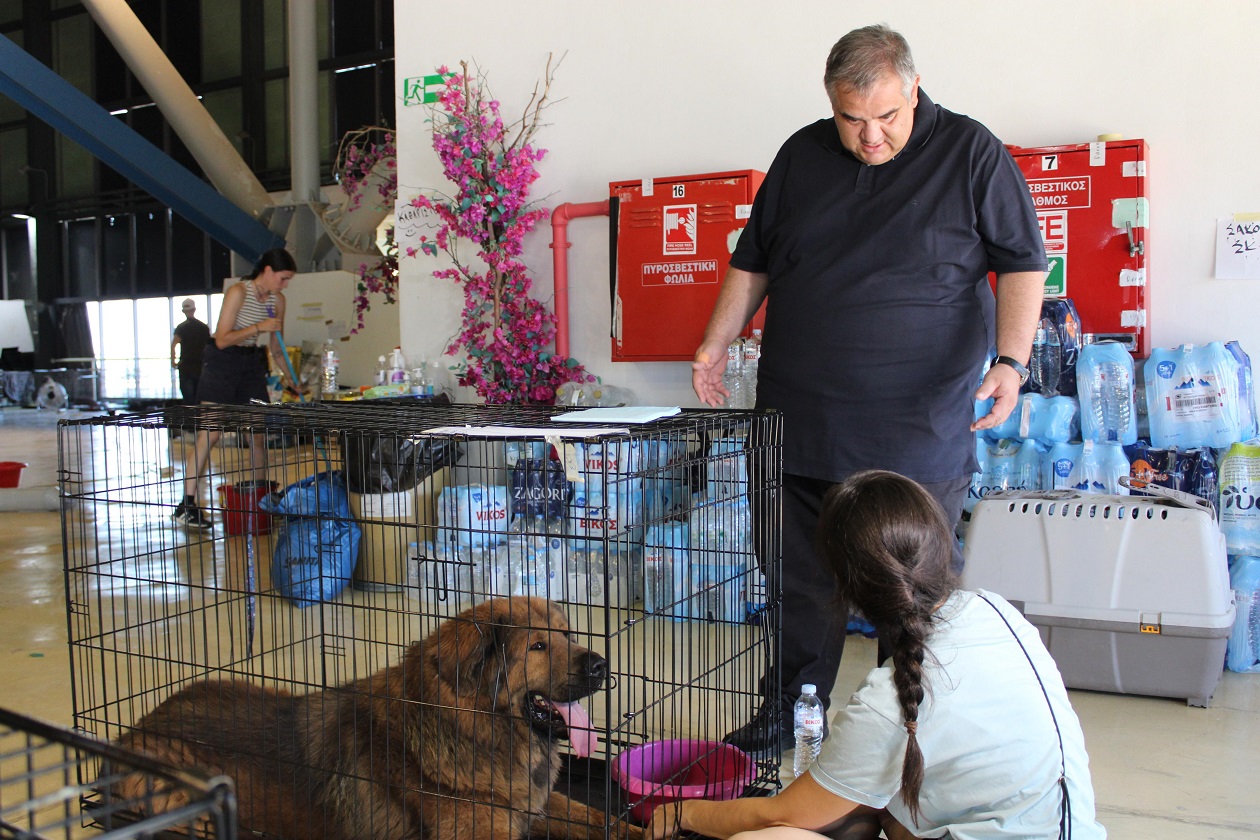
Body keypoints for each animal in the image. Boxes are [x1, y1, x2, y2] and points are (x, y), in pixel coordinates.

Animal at [118, 596, 635, 840]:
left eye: (567, 633)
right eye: (538, 646)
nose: (602, 666)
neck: (467, 727)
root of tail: (136, 728)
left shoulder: (531, 805)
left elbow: (595, 817)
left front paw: (644, 825)